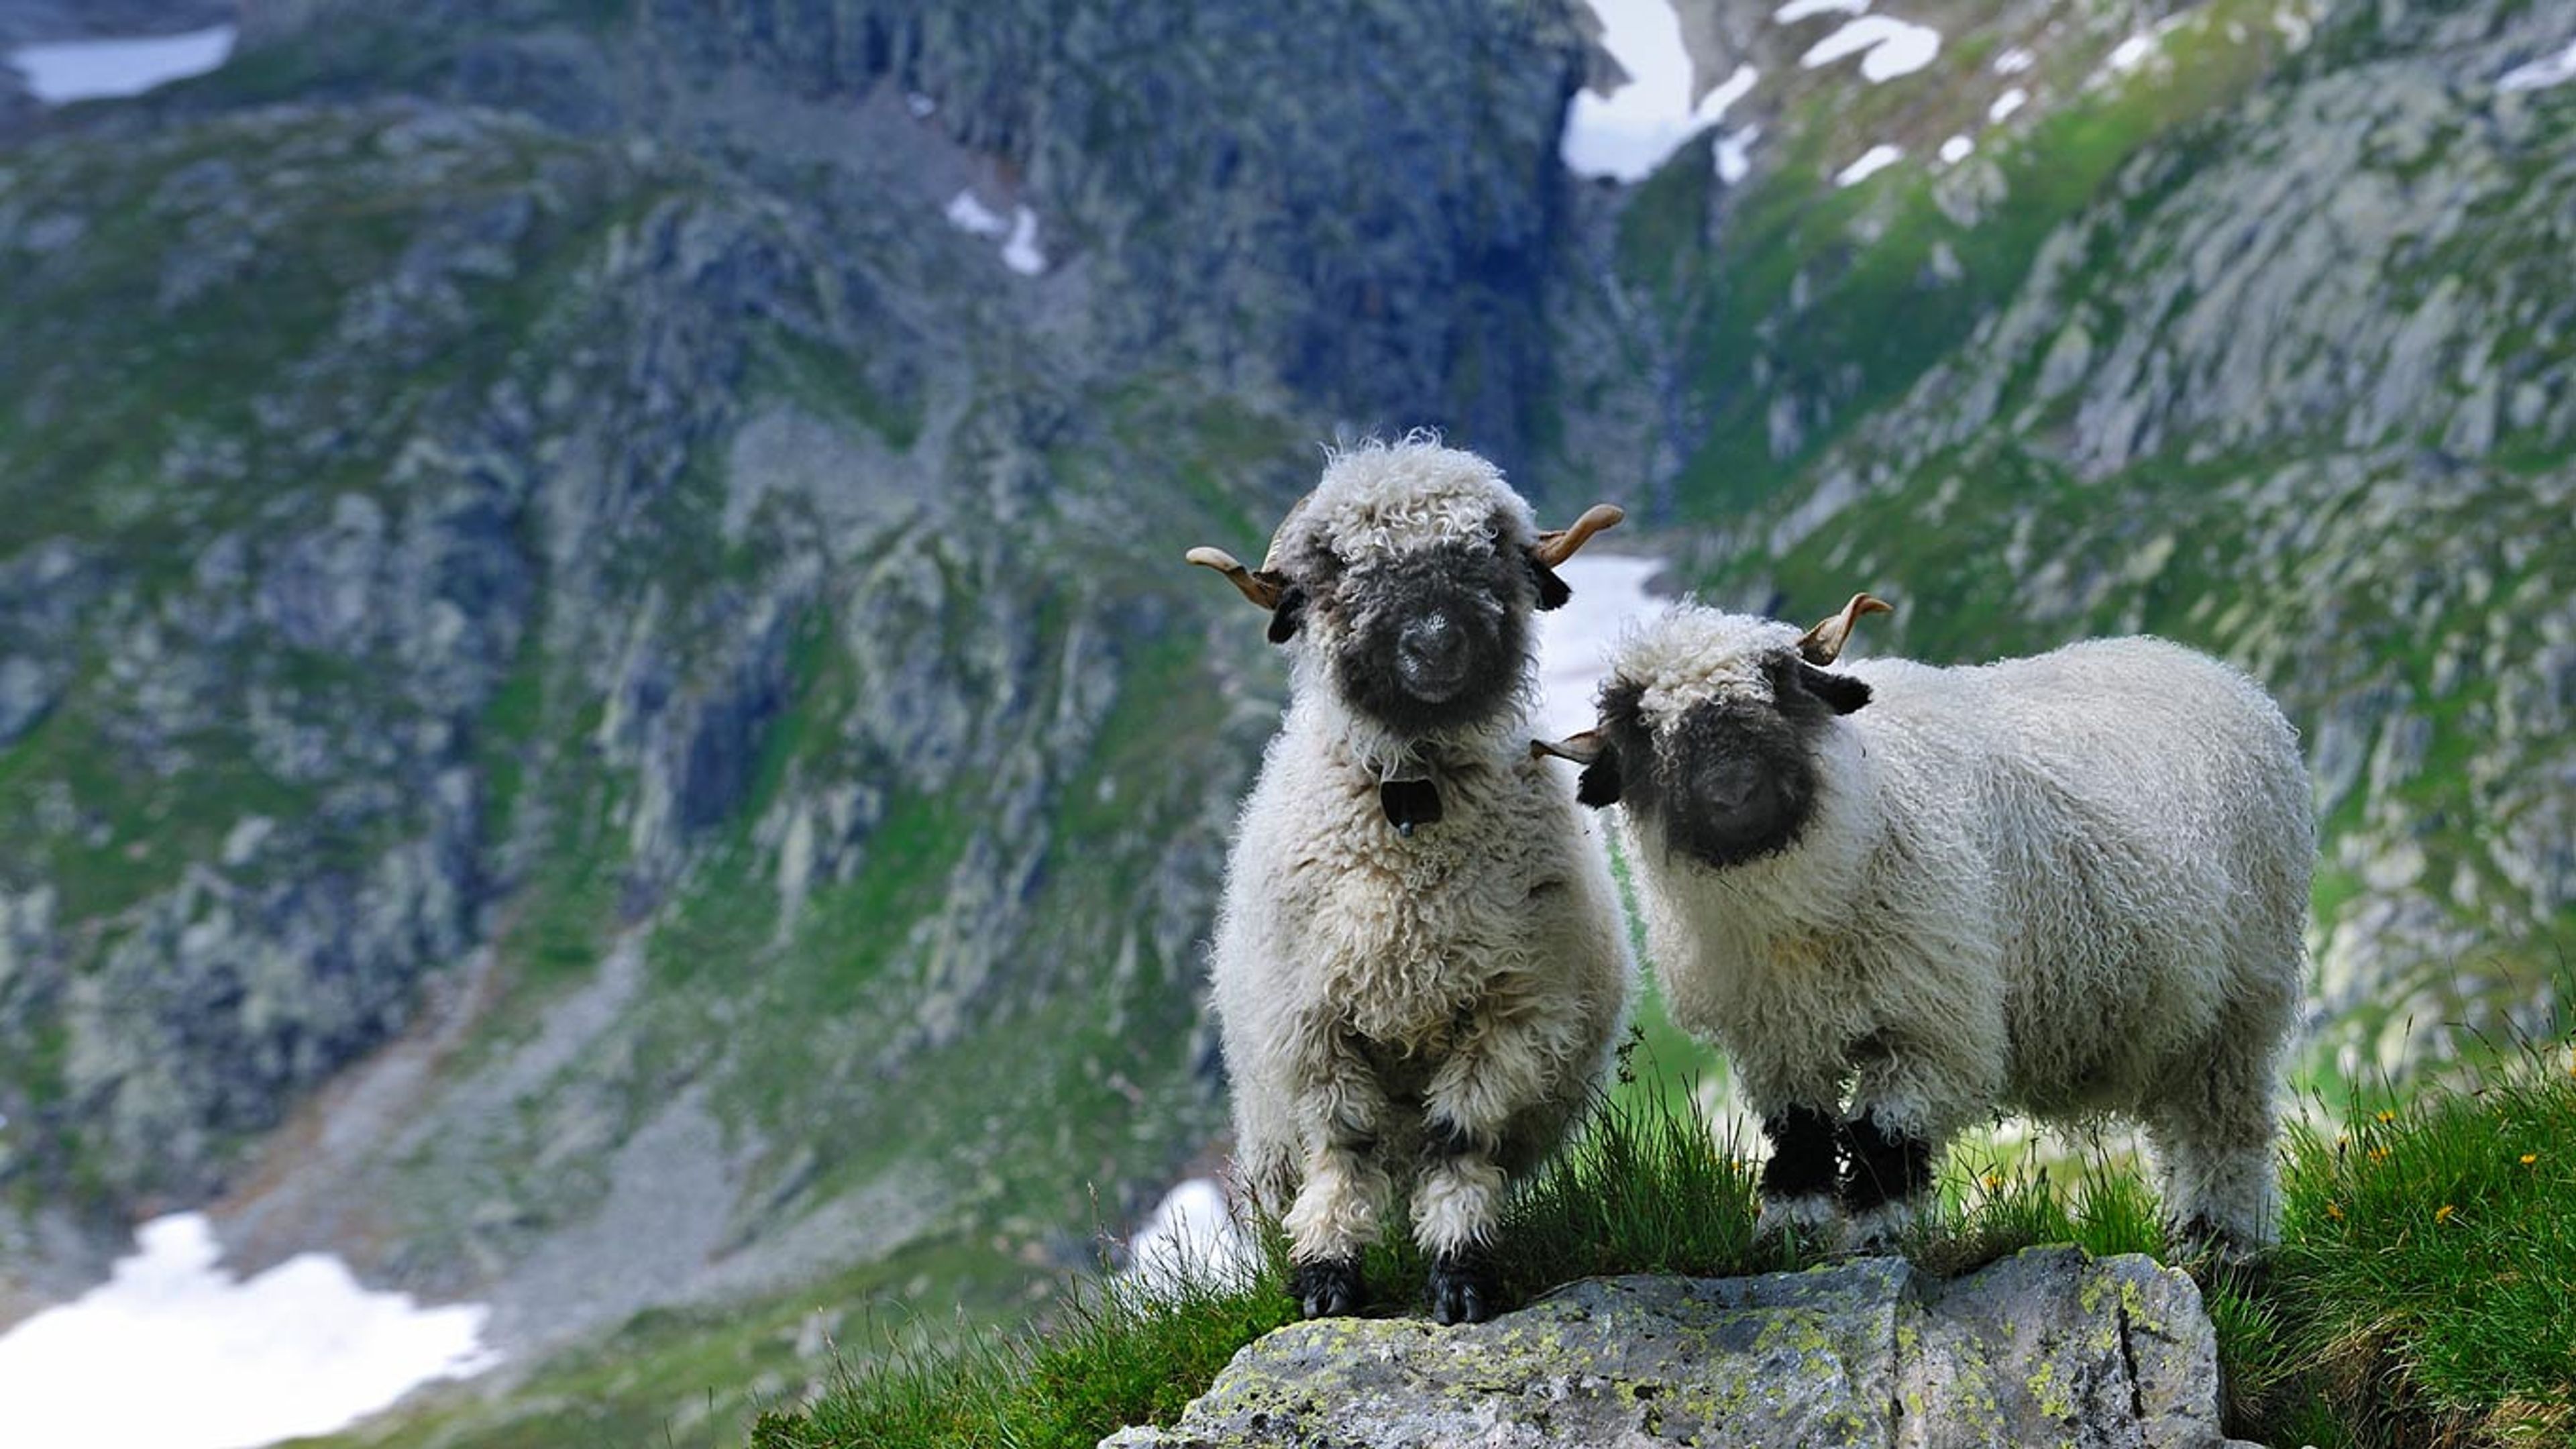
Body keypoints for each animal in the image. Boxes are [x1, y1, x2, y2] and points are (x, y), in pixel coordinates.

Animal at [1185, 439, 1634, 1324]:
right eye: (1336, 567)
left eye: (1488, 549)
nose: (1434, 641)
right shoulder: (1311, 1026)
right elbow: (1342, 1146)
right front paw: (1326, 1273)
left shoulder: (1511, 1014)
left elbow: (1457, 1141)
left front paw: (1459, 1271)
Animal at [1535, 594, 2310, 1252]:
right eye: (1643, 730)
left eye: (1779, 687)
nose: (1733, 794)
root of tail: (2204, 666)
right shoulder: (1775, 1036)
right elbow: (1800, 1134)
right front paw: (1790, 1235)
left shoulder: (1934, 1022)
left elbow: (1884, 1139)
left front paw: (1880, 1241)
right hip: (2175, 1021)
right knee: (2180, 1127)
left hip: (2243, 1001)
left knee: (2224, 1128)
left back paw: (2224, 1242)